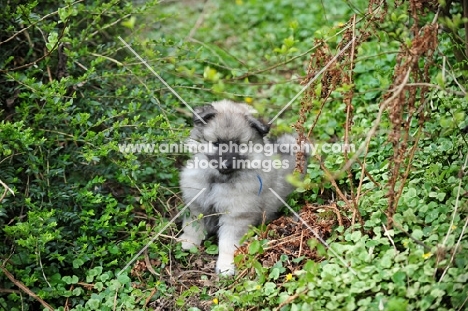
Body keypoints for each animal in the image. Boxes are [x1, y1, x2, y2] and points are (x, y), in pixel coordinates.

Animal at [178, 100, 304, 276]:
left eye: (238, 145)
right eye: (216, 143)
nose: (225, 164)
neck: (218, 180)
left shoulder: (236, 217)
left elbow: (227, 243)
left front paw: (226, 265)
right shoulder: (196, 203)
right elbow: (192, 226)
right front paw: (188, 242)